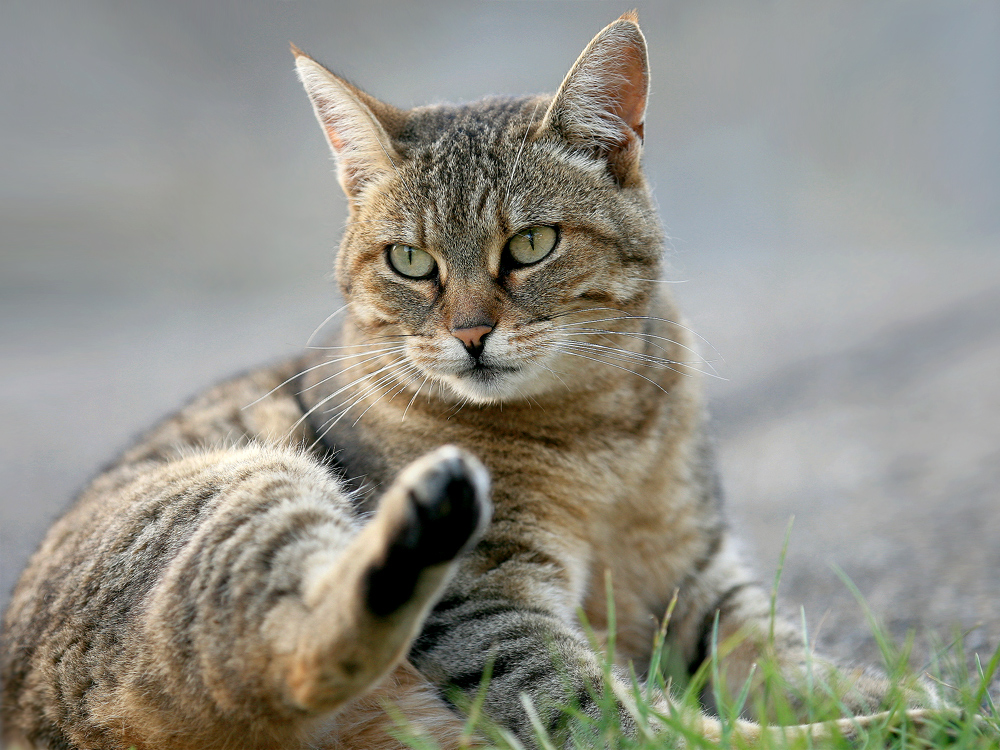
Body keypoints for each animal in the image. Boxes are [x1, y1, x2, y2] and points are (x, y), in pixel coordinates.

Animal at [1, 11, 952, 750]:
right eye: (410, 261)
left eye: (530, 244)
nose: (469, 335)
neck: (597, 429)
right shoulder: (497, 609)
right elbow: (624, 717)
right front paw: (895, 718)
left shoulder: (705, 585)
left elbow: (791, 665)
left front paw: (894, 697)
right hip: (257, 485)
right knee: (310, 650)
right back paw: (432, 514)